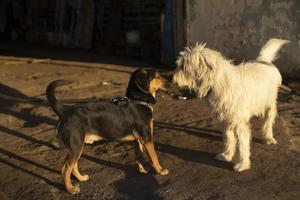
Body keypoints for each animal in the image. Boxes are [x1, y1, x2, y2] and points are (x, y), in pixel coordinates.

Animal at [173, 39, 288, 172]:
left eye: (183, 67)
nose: (172, 79)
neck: (217, 82)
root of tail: (264, 61)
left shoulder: (240, 122)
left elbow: (242, 145)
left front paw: (243, 164)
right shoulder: (225, 119)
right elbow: (229, 138)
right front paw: (227, 155)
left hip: (269, 104)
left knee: (268, 122)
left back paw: (268, 137)